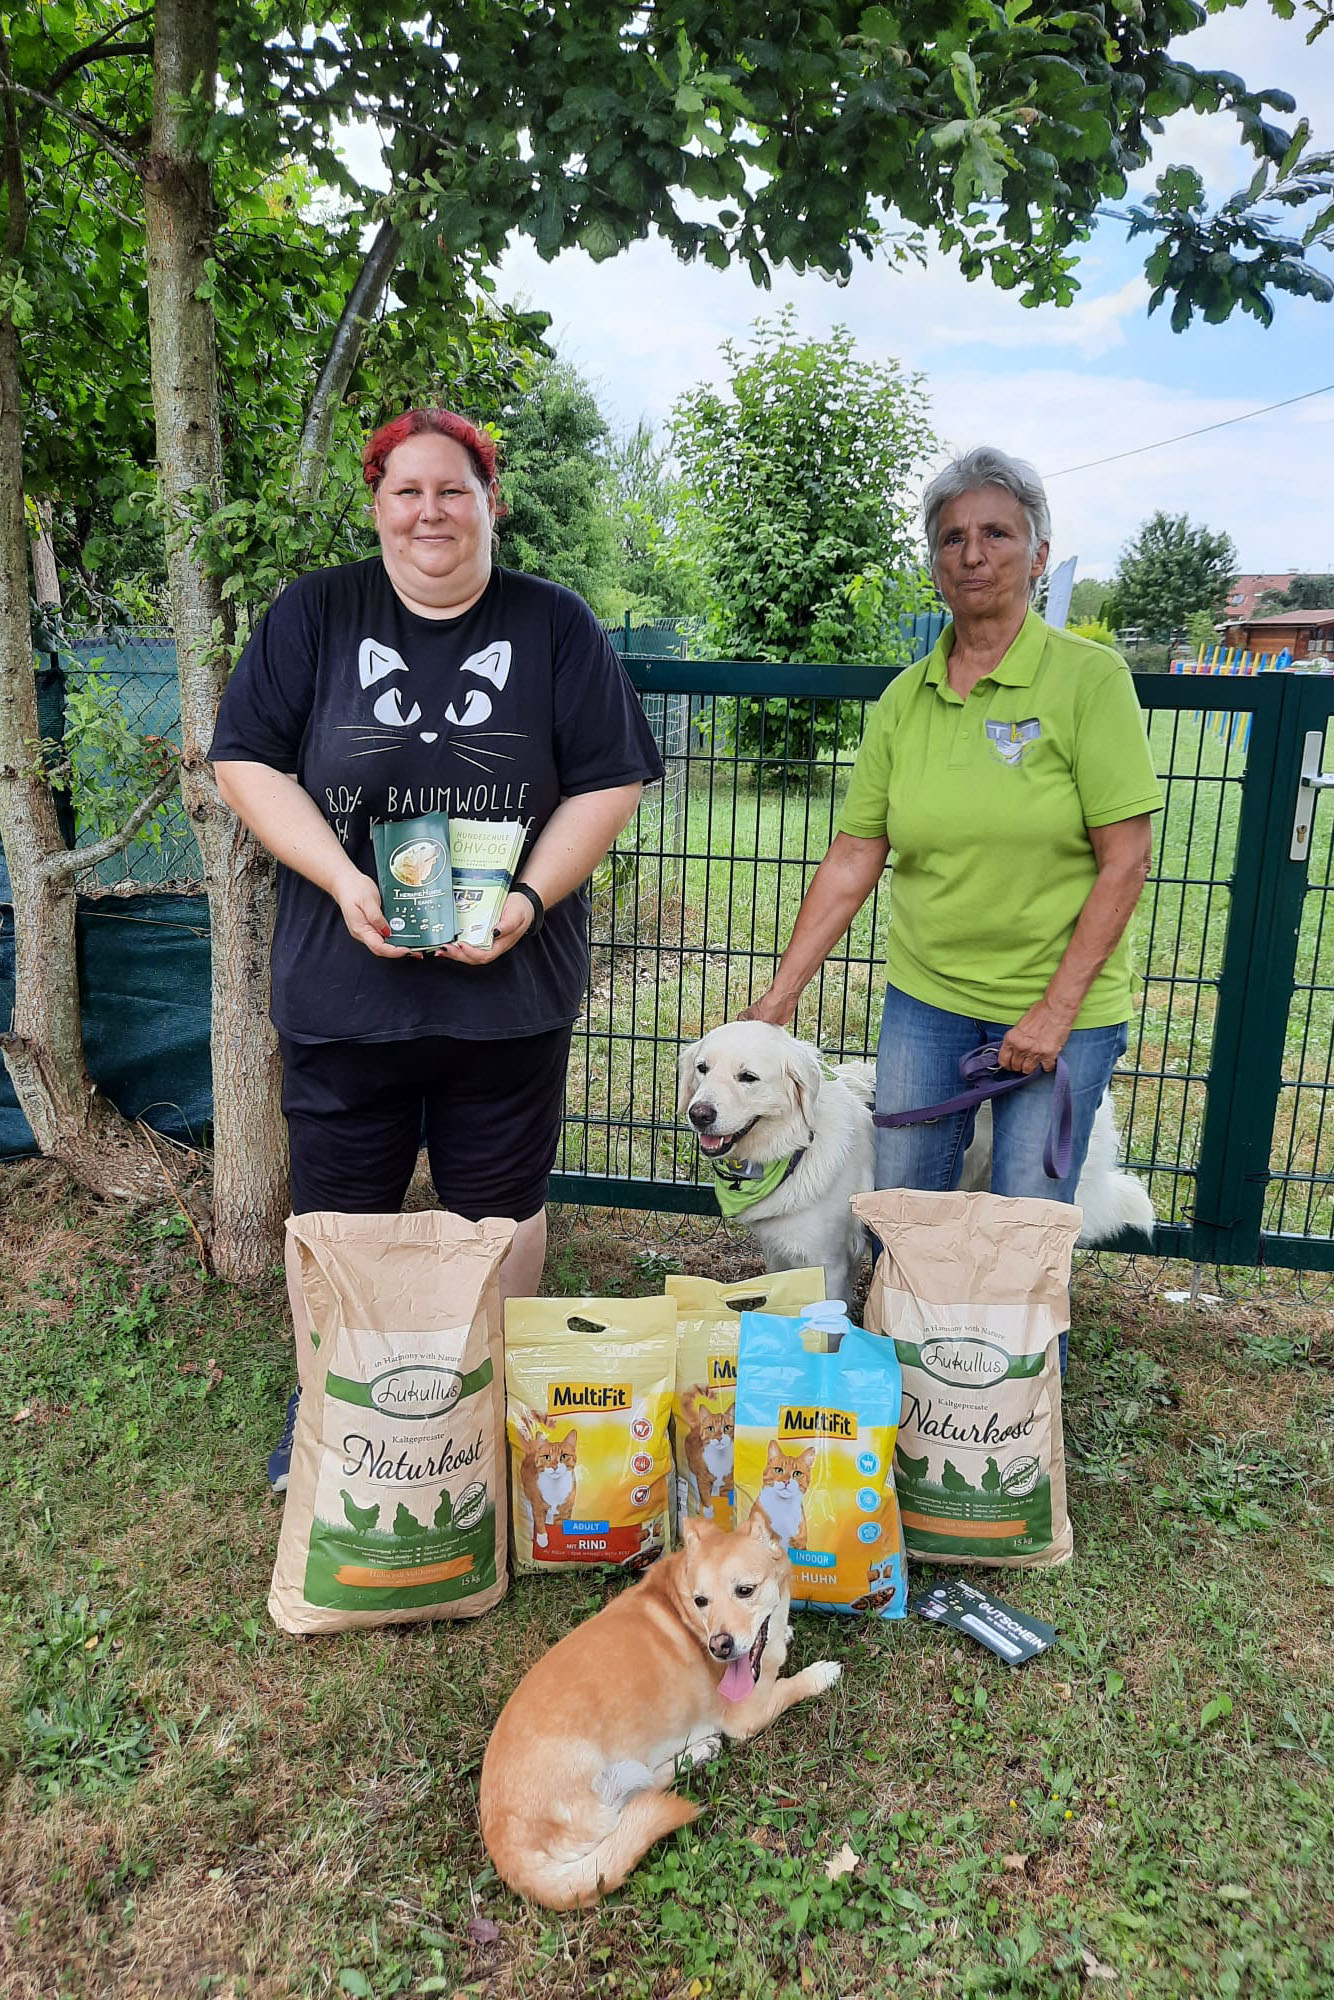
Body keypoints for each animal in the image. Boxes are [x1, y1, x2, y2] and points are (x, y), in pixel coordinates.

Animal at [480, 1512, 840, 1904]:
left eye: (745, 1590)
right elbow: (790, 1687)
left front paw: (784, 1633)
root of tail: (507, 1850)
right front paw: (820, 1674)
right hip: (600, 1774)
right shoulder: (746, 1717)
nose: (720, 1647)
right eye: (701, 1600)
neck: (682, 1609)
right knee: (645, 1793)